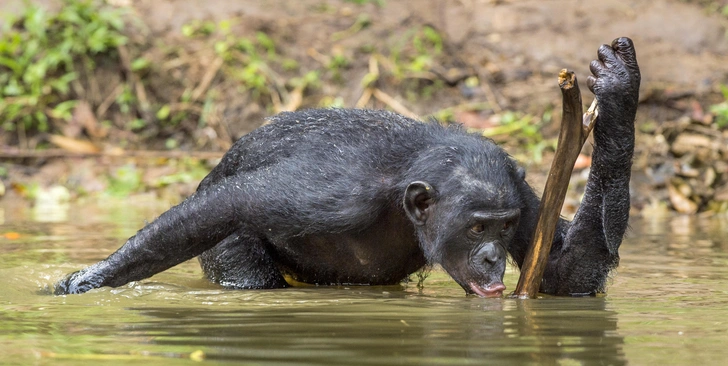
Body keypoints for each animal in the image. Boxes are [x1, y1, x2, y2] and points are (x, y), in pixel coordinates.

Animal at [54, 38, 640, 298]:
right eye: (477, 229)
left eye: (504, 226)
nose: (494, 256)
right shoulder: (332, 193)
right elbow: (221, 206)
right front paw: (84, 282)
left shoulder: (518, 188)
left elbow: (567, 271)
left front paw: (620, 95)